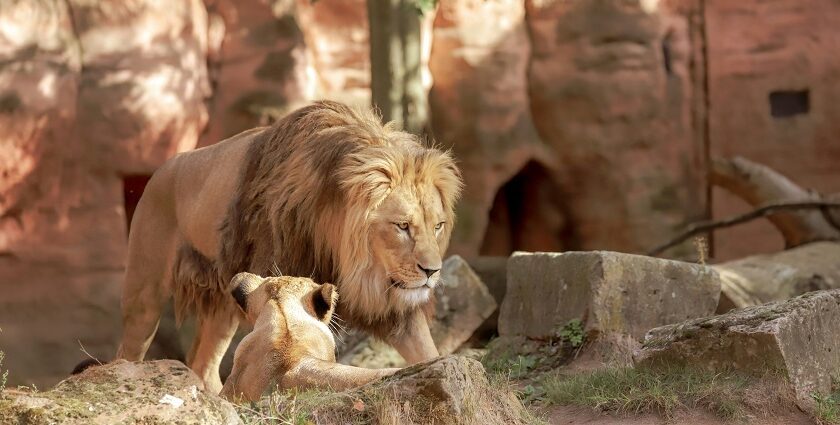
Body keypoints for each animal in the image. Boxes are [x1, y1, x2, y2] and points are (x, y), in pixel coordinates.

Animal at [115, 99, 462, 390]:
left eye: (438, 226)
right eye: (402, 226)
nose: (432, 272)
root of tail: (161, 169)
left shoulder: (397, 310)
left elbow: (427, 351)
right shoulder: (279, 279)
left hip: (226, 304)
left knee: (203, 363)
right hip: (144, 294)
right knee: (127, 350)